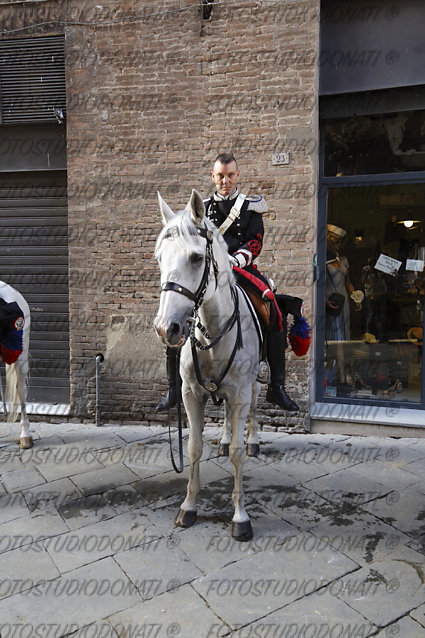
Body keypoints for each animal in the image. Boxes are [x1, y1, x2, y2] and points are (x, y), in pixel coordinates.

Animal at [154, 189, 260, 540]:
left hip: (254, 383)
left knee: (255, 406)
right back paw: (225, 438)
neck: (213, 331)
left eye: (196, 258)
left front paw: (240, 517)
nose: (167, 328)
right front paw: (188, 507)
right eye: (159, 258)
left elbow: (238, 455)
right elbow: (194, 448)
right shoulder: (191, 394)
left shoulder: (240, 394)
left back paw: (253, 440)